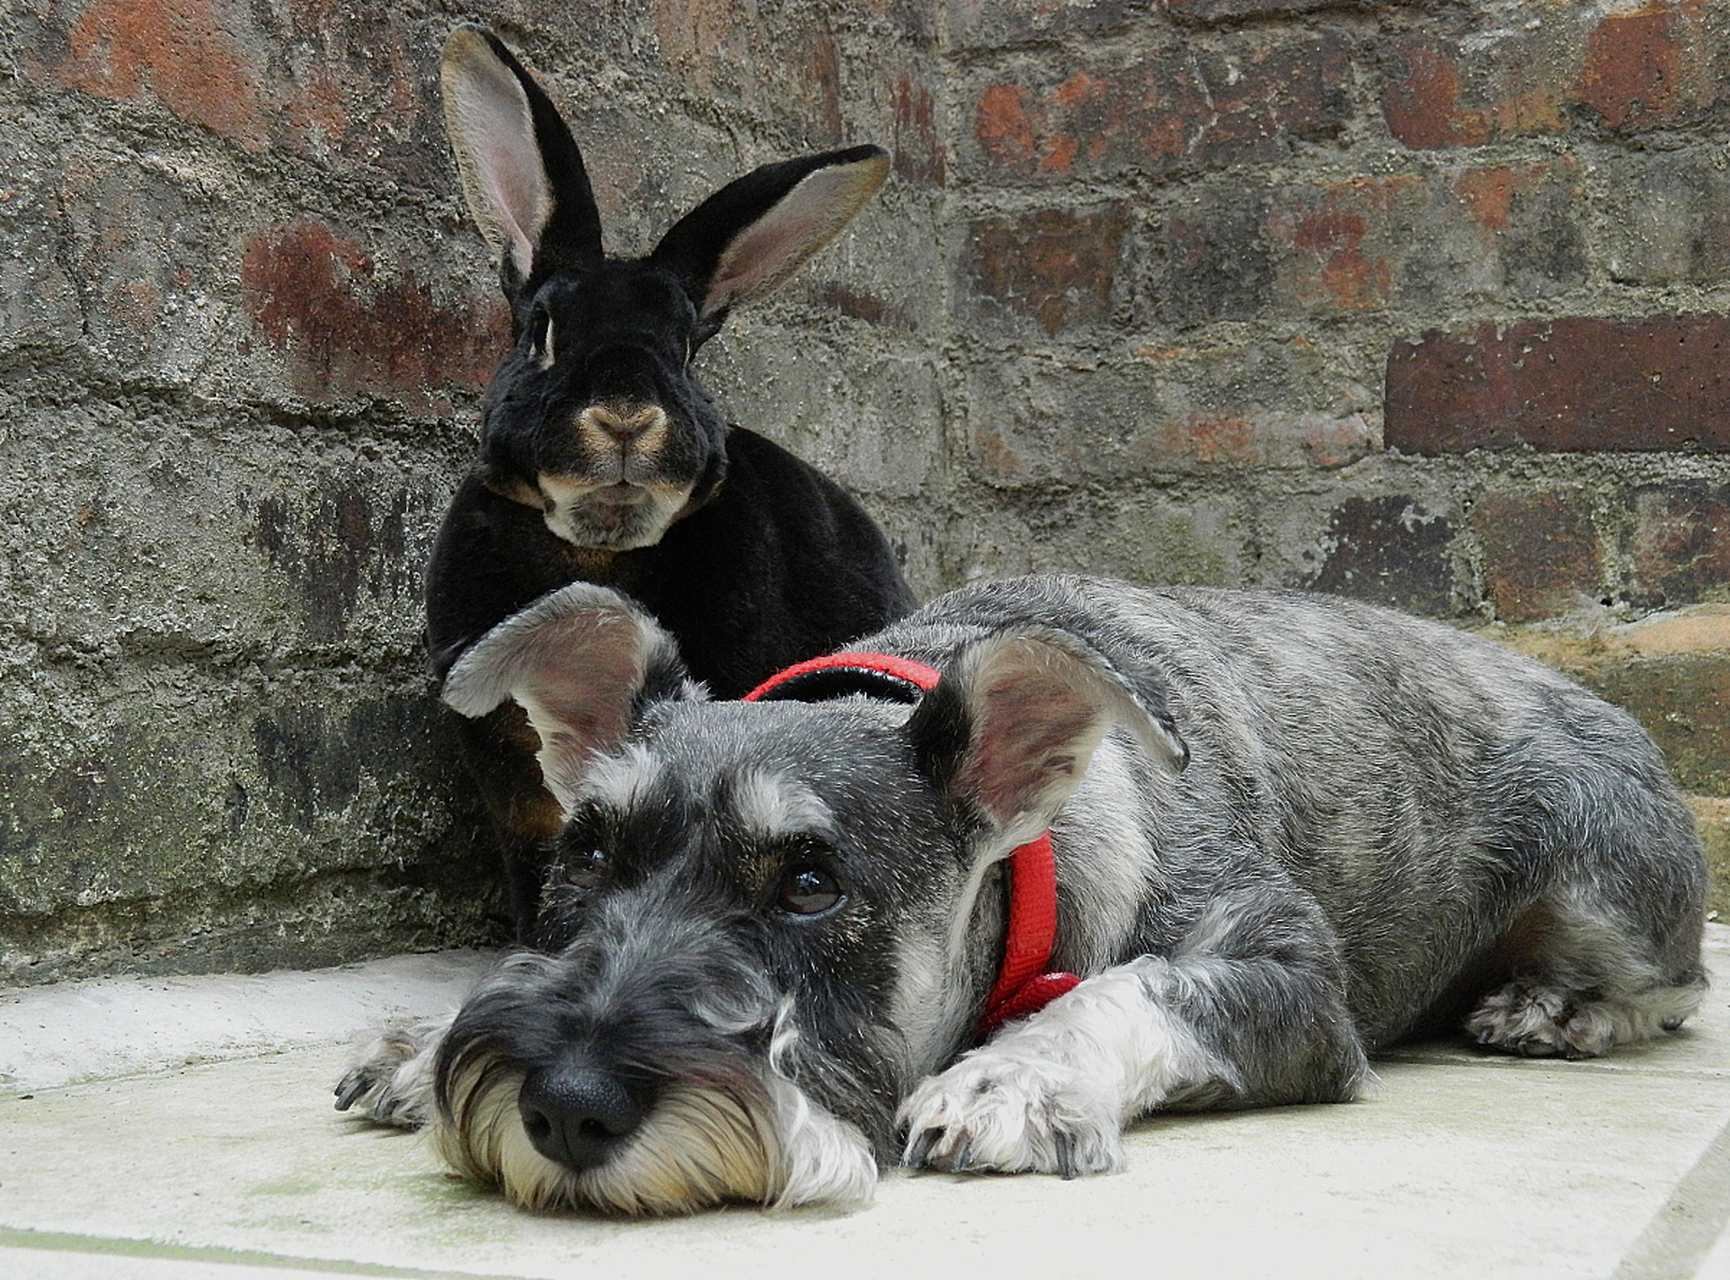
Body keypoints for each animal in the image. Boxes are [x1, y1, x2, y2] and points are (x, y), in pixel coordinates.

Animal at [337, 574, 1702, 1217]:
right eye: (588, 853)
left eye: (810, 882)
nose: (565, 1106)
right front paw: (417, 1043)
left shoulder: (1285, 975)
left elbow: (1127, 989)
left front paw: (1014, 1080)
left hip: (1608, 875)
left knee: (1672, 987)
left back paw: (1548, 1007)